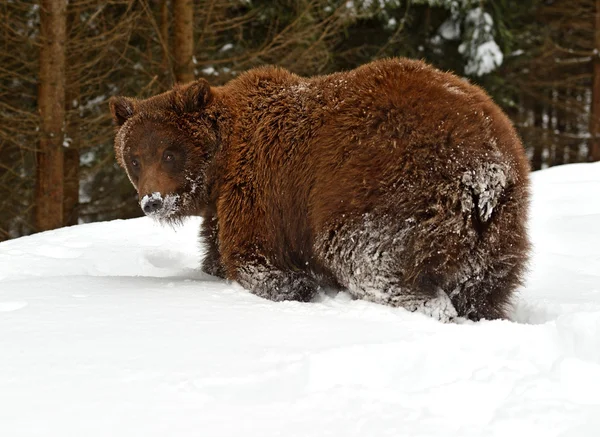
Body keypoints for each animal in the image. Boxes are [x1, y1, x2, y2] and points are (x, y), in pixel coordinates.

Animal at [109, 57, 528, 320]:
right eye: (134, 157)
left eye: (169, 153)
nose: (152, 201)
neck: (221, 165)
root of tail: (484, 169)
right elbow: (217, 251)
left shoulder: (262, 188)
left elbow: (254, 255)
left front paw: (294, 284)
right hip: (500, 228)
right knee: (484, 286)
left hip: (385, 187)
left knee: (363, 258)